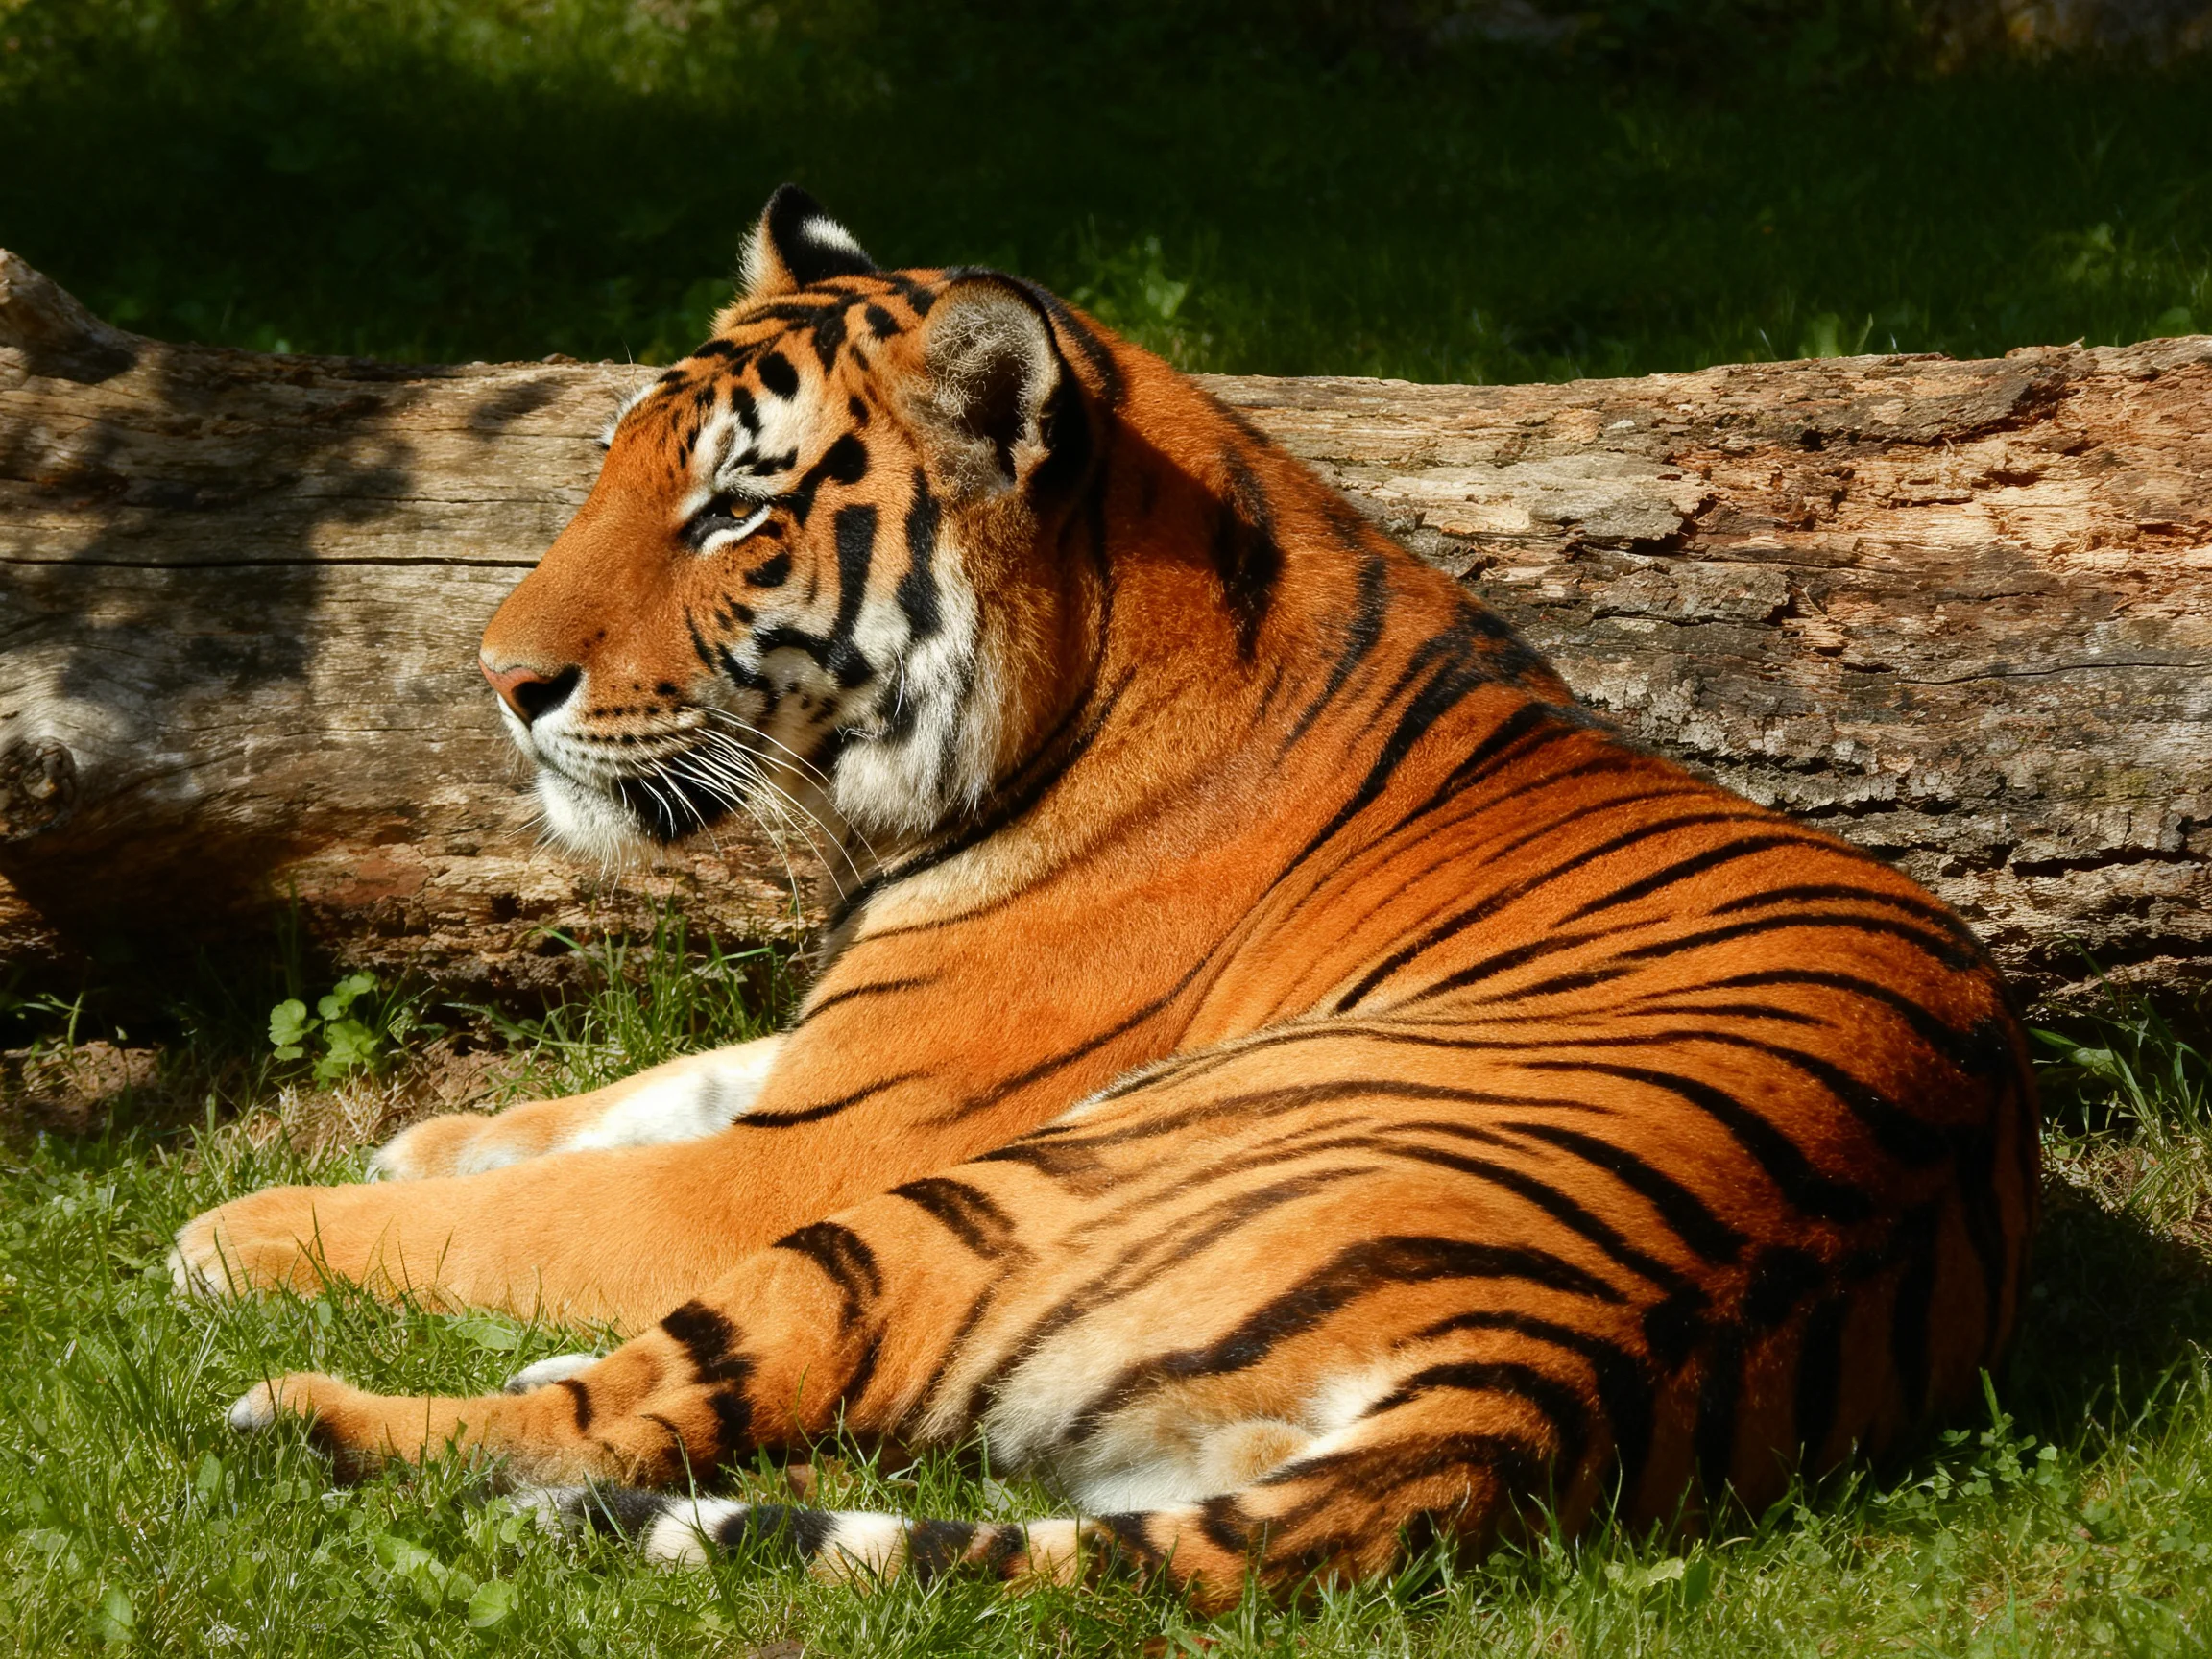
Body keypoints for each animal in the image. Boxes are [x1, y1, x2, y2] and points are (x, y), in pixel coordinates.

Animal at [173, 184, 2039, 1608]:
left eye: (733, 510)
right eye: (618, 469)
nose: (501, 681)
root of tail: (1542, 1371)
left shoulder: (816, 1150)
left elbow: (535, 1211)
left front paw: (258, 1223)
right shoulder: (827, 1060)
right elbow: (648, 1086)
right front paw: (438, 1134)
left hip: (933, 1215)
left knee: (602, 1429)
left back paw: (307, 1408)